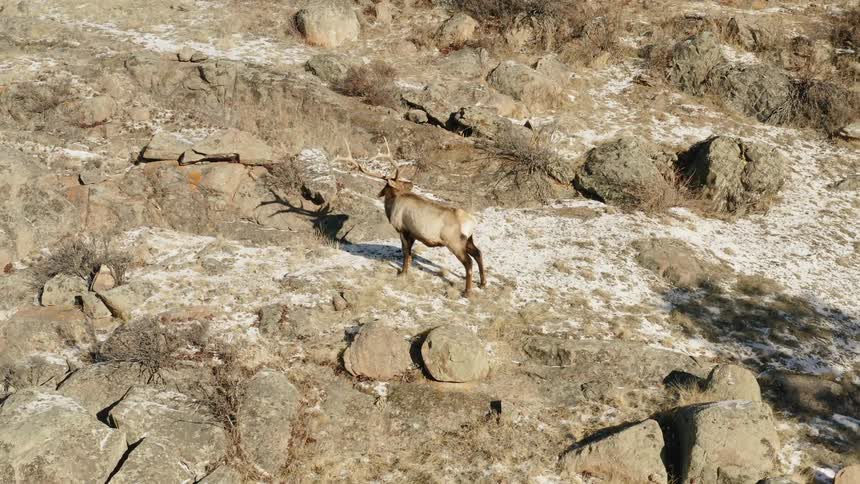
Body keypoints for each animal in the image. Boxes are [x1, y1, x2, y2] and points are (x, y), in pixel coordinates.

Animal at [334, 139, 486, 297]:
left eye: (386, 184)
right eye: (402, 181)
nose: (411, 183)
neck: (392, 206)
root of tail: (471, 223)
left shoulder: (402, 229)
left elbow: (405, 251)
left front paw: (402, 273)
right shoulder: (413, 233)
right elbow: (410, 254)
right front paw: (405, 271)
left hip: (454, 242)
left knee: (468, 262)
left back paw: (467, 291)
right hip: (468, 239)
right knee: (478, 253)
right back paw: (482, 283)